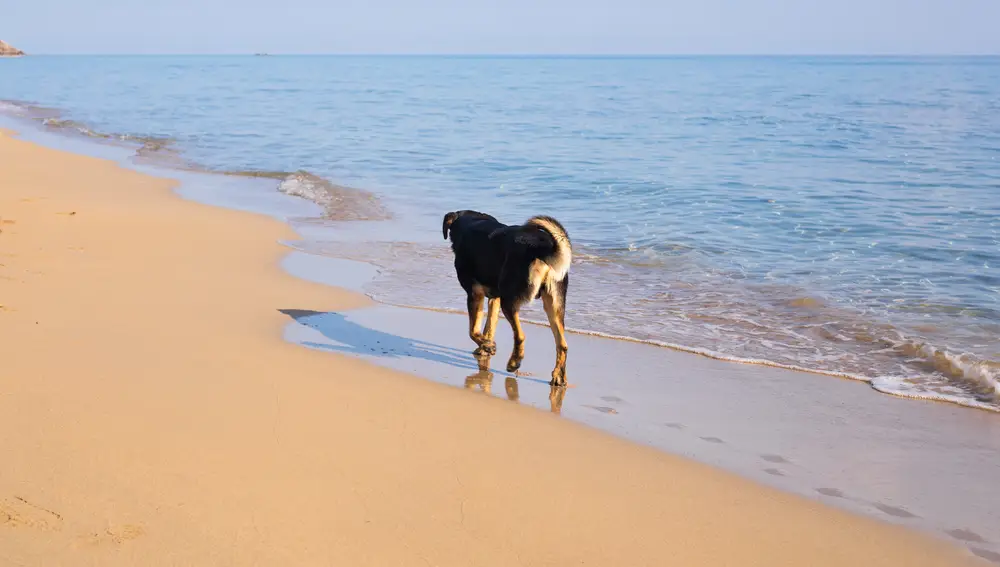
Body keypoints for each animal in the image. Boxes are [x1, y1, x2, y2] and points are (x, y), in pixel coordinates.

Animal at [444, 211, 576, 388]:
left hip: (509, 301)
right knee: (562, 345)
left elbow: (473, 330)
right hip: (554, 304)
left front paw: (487, 346)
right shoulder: (495, 298)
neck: (470, 222)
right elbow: (489, 327)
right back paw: (559, 376)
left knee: (520, 336)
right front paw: (485, 347)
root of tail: (542, 247)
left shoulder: (474, 294)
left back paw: (514, 362)